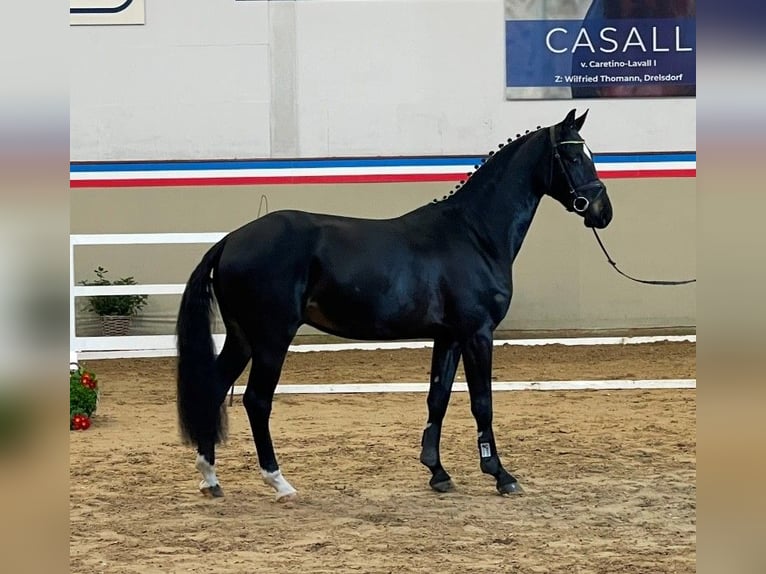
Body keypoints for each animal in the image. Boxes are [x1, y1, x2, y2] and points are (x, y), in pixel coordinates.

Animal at [177, 110, 616, 502]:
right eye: (572, 157)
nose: (602, 212)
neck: (473, 234)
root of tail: (230, 240)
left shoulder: (449, 338)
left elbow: (438, 398)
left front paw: (438, 472)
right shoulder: (478, 334)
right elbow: (482, 404)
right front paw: (501, 475)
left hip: (242, 338)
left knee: (214, 387)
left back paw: (210, 477)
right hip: (271, 339)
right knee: (256, 400)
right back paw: (279, 482)